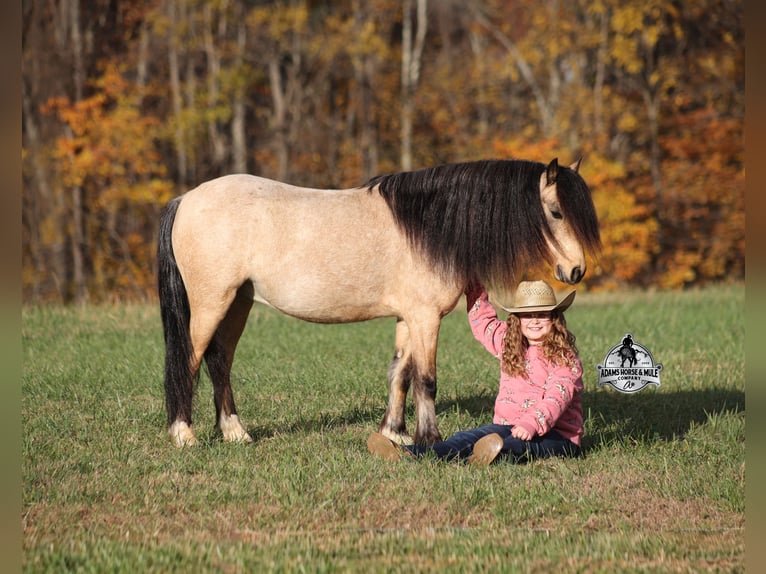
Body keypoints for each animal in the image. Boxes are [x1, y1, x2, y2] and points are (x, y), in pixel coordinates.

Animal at [157, 157, 601, 448]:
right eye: (556, 211)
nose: (576, 270)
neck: (428, 225)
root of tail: (186, 199)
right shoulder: (425, 318)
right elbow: (425, 379)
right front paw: (429, 439)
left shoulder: (408, 318)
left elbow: (399, 373)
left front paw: (395, 434)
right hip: (212, 303)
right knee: (190, 359)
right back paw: (184, 435)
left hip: (239, 303)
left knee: (220, 361)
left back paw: (235, 433)